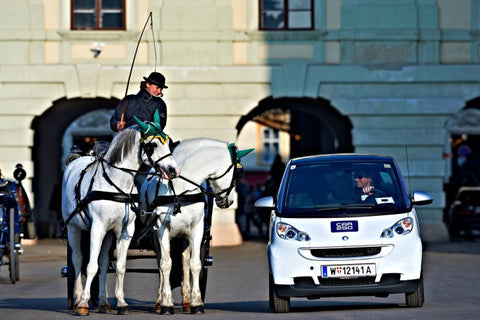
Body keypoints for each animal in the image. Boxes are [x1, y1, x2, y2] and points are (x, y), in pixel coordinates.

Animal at [61, 114, 179, 316]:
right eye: (153, 145)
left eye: (169, 143)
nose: (174, 170)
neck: (116, 184)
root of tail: (76, 160)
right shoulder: (97, 228)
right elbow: (90, 266)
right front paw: (83, 303)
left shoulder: (124, 231)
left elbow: (120, 267)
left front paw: (121, 303)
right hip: (73, 228)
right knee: (78, 260)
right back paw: (77, 299)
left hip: (108, 234)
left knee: (103, 261)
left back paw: (103, 302)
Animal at [141, 138, 253, 316]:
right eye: (237, 173)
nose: (229, 201)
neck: (179, 190)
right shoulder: (161, 231)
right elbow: (166, 265)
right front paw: (166, 303)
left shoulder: (196, 230)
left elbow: (194, 265)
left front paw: (196, 302)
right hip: (155, 236)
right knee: (161, 263)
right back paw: (160, 300)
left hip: (184, 238)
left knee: (185, 262)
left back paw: (186, 300)